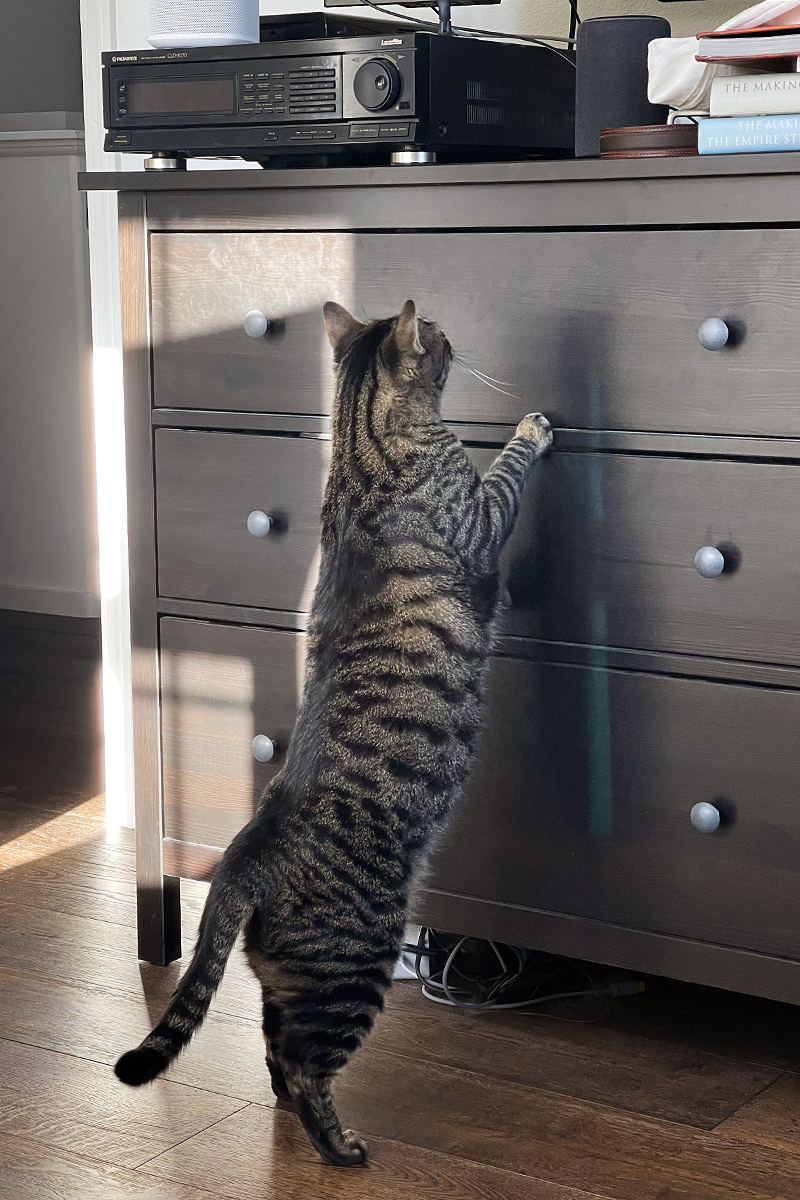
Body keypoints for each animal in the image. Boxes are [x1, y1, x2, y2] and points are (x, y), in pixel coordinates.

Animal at [115, 297, 554, 1161]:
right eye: (440, 336)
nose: (455, 335)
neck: (357, 448)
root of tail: (243, 860)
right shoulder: (483, 518)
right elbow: (509, 470)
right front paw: (533, 425)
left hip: (291, 979)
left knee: (274, 1044)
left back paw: (295, 1114)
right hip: (358, 962)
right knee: (303, 1059)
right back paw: (339, 1144)